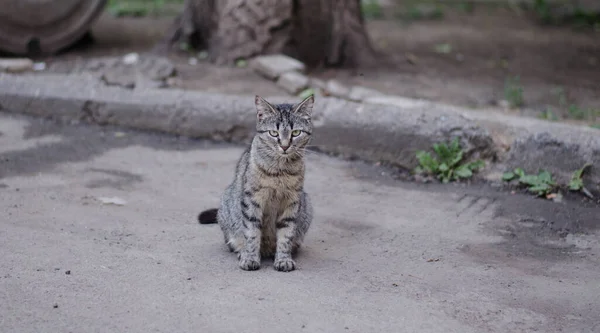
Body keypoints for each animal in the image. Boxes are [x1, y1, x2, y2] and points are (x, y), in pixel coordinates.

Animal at [199, 94, 316, 272]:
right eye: (273, 133)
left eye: (296, 132)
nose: (284, 146)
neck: (280, 171)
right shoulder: (252, 199)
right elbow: (252, 232)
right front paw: (250, 258)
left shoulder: (292, 201)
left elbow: (286, 234)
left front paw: (283, 259)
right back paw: (243, 251)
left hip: (306, 203)